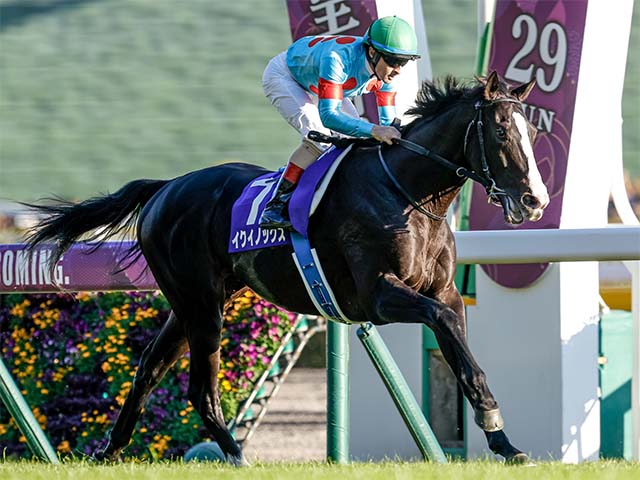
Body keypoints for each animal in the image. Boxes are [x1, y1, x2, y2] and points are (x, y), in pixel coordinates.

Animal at [25, 71, 548, 465]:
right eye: (502, 132)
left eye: (534, 132)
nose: (535, 201)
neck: (408, 194)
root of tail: (165, 187)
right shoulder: (379, 296)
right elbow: (444, 331)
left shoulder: (444, 294)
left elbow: (461, 355)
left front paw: (503, 440)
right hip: (202, 306)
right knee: (199, 387)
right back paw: (236, 455)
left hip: (194, 302)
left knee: (149, 368)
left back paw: (110, 451)